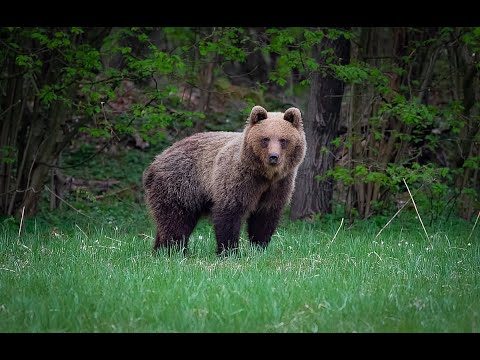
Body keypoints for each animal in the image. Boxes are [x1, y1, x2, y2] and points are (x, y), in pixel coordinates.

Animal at [143, 105, 308, 255]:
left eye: (283, 140)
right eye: (265, 139)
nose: (273, 157)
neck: (265, 175)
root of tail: (157, 160)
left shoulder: (278, 186)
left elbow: (264, 218)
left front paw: (259, 248)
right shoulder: (239, 179)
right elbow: (229, 214)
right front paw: (229, 251)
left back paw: (160, 251)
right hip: (179, 185)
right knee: (176, 221)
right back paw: (172, 251)